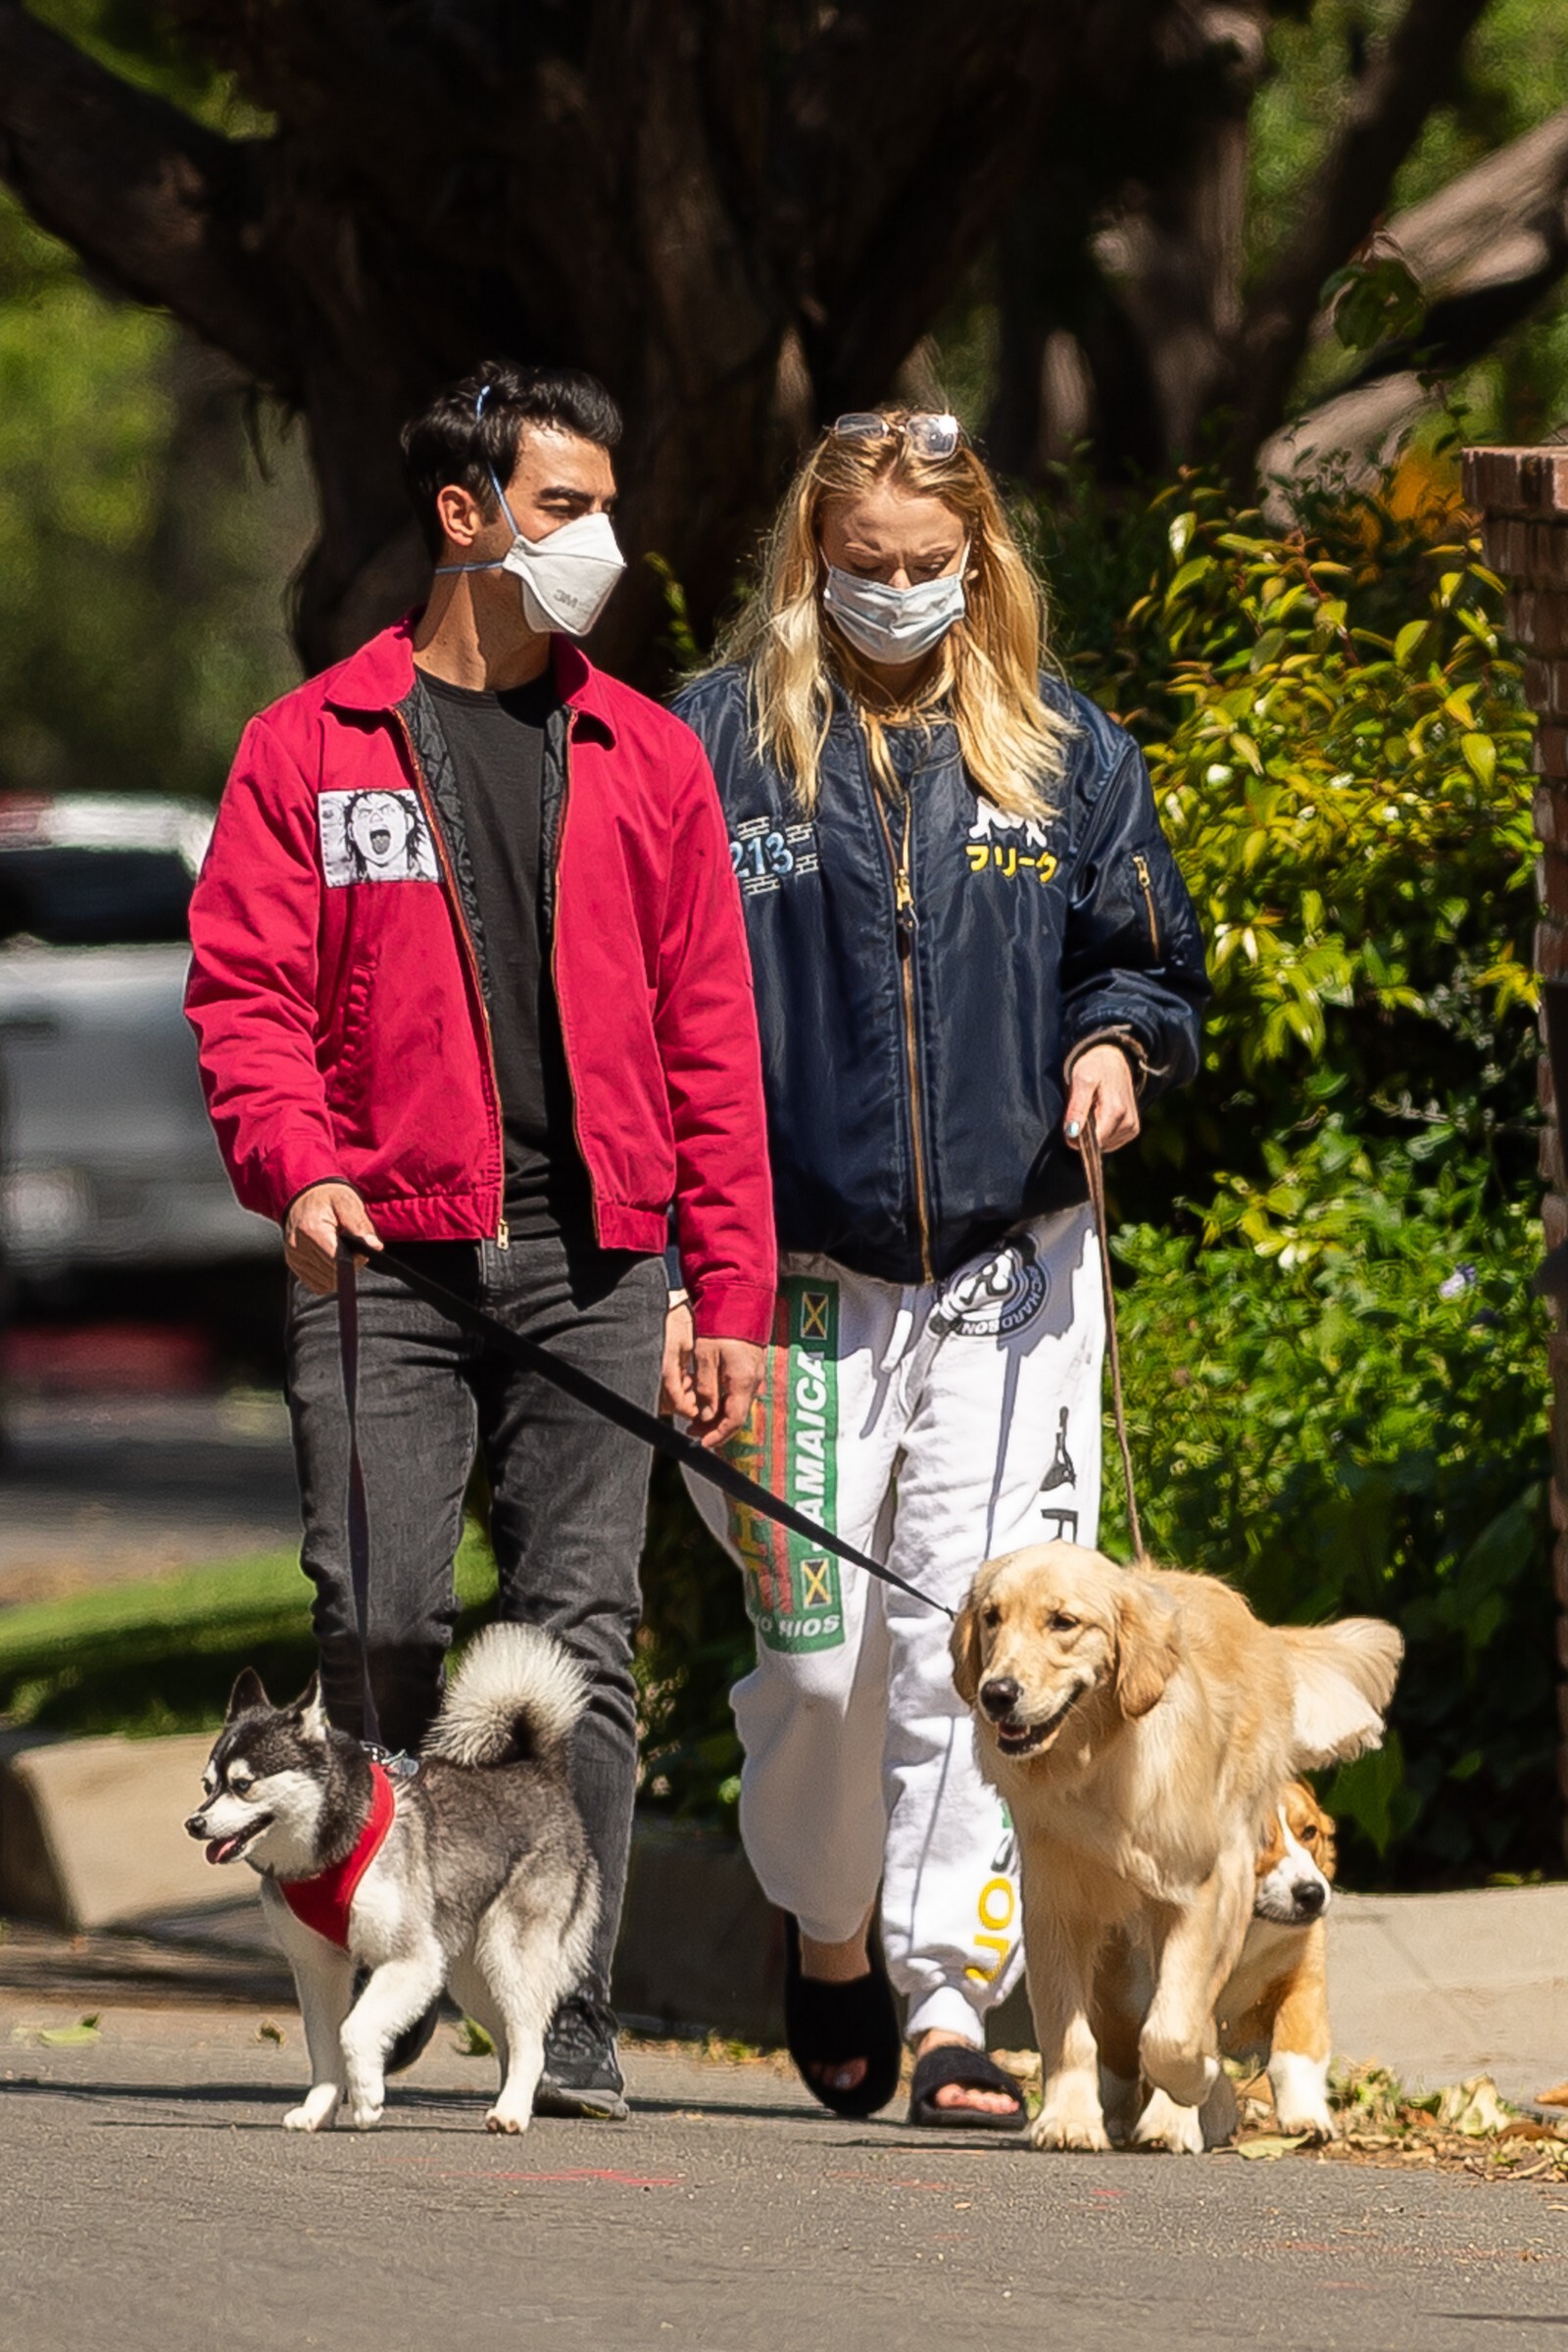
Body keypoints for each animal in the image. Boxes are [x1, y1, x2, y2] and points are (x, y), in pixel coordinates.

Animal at [184, 1622, 597, 2135]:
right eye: (208, 1786)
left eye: (243, 1785)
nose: (195, 1823)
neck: (329, 1850)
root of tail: (540, 1769)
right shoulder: (318, 1968)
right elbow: (324, 2044)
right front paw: (319, 2109)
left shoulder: (411, 1960)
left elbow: (354, 2029)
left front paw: (366, 2098)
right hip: (470, 1973)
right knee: (511, 2036)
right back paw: (510, 2100)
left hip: (509, 1953)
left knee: (529, 2038)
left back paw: (512, 2111)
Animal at [951, 1541, 1399, 2155]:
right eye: (992, 1617)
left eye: (1063, 1621)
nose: (997, 1694)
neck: (1098, 1767)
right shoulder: (1056, 1904)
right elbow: (1068, 2030)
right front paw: (1070, 2119)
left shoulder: (1197, 1894)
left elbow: (1174, 2032)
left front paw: (1192, 2091)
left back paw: (1175, 2117)